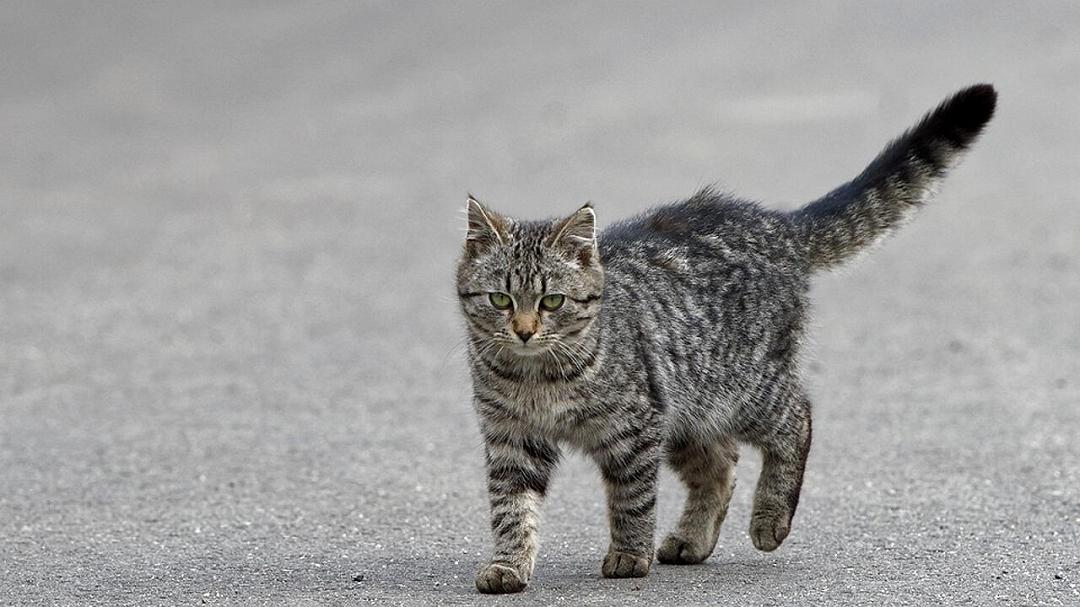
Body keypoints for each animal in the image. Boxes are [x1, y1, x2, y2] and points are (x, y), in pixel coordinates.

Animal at [455, 83, 993, 591]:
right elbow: (511, 509)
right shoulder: (512, 438)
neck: (536, 375)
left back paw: (770, 520)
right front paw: (508, 564)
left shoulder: (635, 427)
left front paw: (629, 554)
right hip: (689, 407)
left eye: (552, 301)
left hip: (743, 388)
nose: (524, 331)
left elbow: (632, 499)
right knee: (721, 464)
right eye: (500, 300)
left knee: (797, 418)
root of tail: (778, 223)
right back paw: (693, 539)